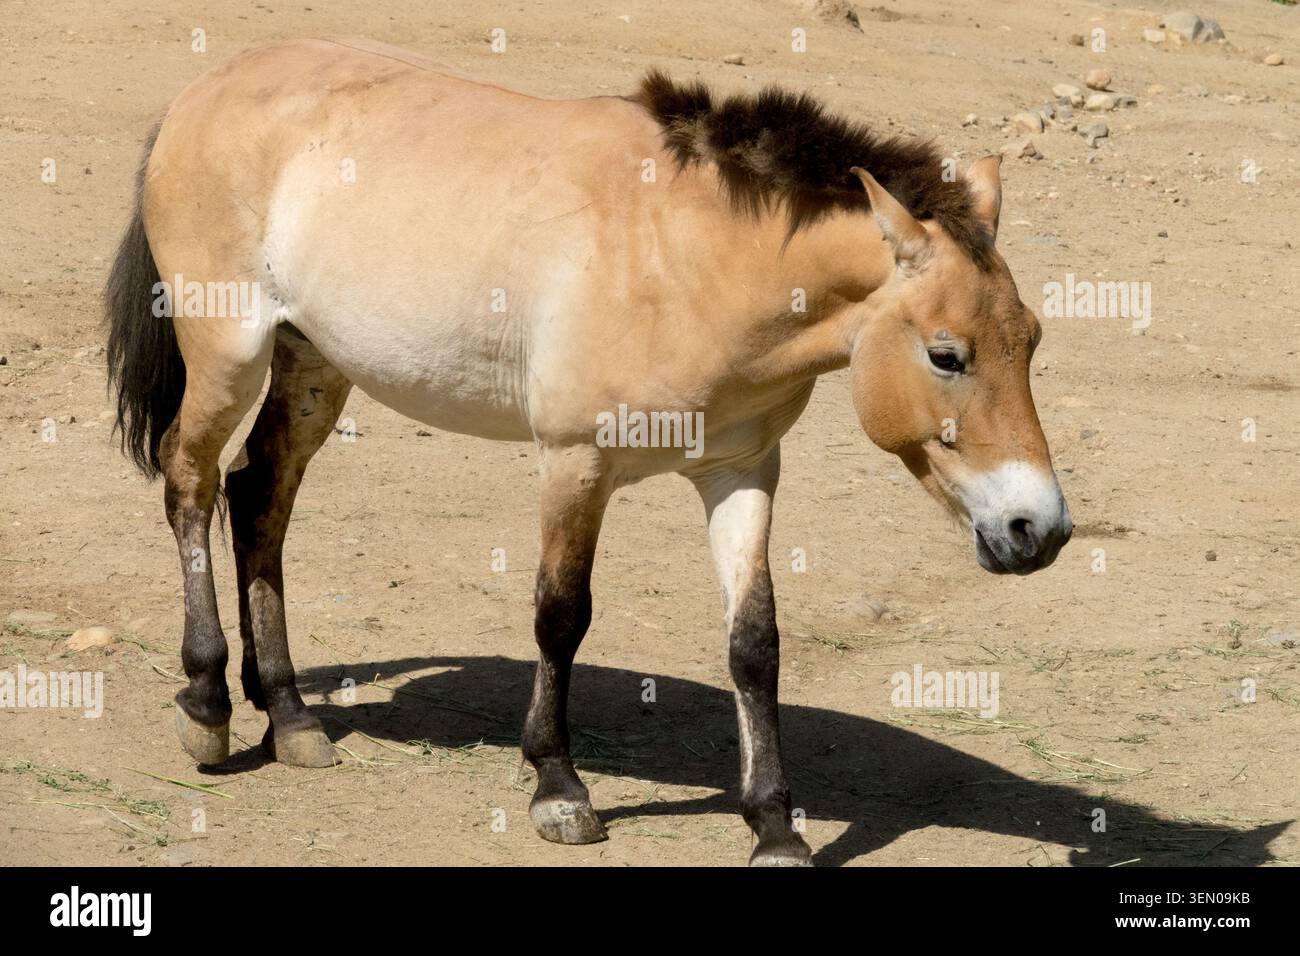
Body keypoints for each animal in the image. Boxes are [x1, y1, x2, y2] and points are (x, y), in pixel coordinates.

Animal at [105, 38, 1072, 866]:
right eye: (946, 354)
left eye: (1032, 339)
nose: (1041, 530)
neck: (691, 253)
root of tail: (205, 90)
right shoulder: (576, 463)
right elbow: (560, 615)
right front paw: (559, 789)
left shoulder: (743, 470)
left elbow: (754, 642)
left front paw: (773, 826)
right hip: (229, 354)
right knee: (190, 481)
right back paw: (208, 705)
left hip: (314, 364)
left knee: (258, 494)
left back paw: (293, 715)